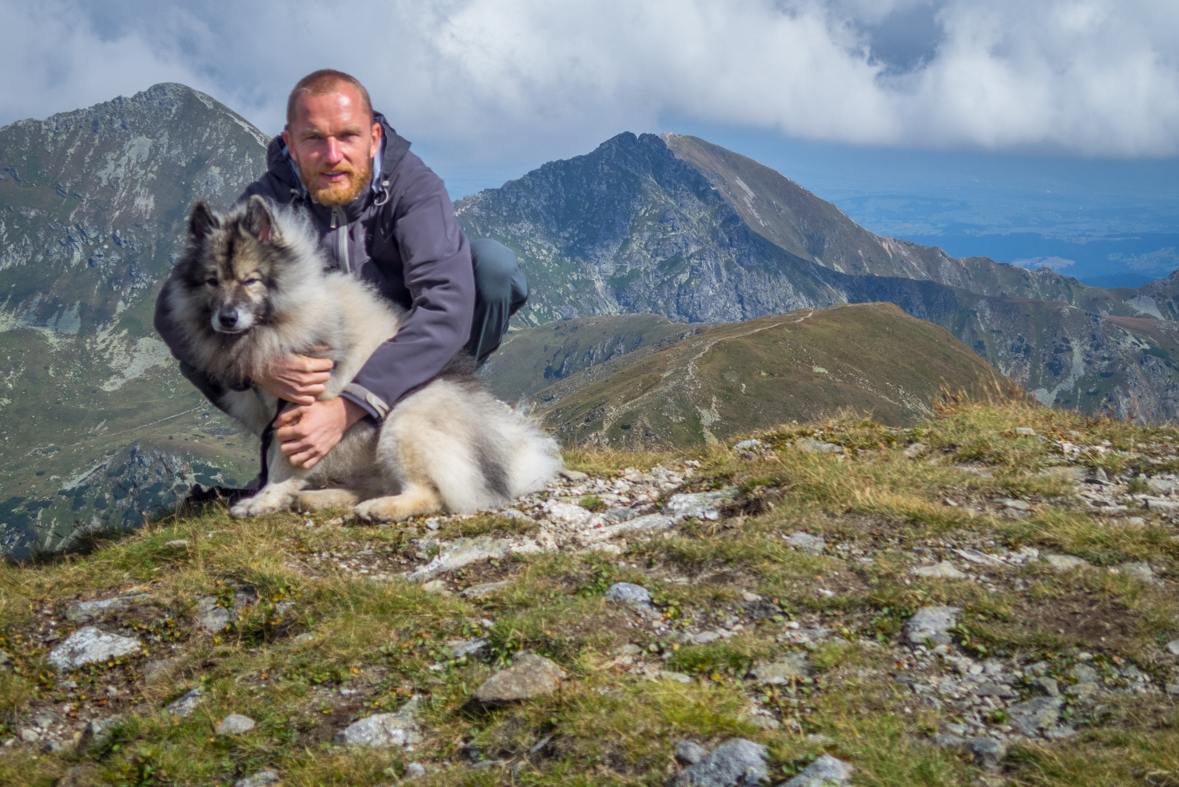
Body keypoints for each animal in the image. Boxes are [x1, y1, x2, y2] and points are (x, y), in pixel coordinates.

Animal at [163, 193, 563, 518]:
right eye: (212, 281)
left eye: (251, 280)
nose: (227, 318)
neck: (280, 321)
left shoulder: (299, 409)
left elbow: (281, 461)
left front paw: (265, 499)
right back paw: (321, 498)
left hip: (404, 421)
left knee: (429, 494)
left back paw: (380, 509)